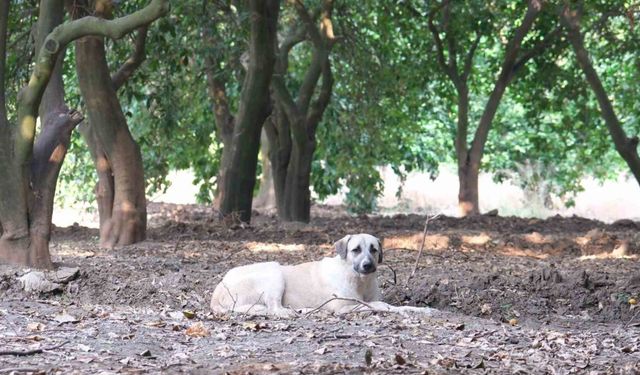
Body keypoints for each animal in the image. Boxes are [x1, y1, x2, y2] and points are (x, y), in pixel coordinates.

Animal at [212, 235, 432, 318]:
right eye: (356, 250)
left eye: (373, 249)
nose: (368, 265)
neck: (360, 281)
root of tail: (217, 292)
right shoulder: (343, 306)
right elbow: (380, 305)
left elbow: (394, 305)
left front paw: (421, 310)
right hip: (274, 272)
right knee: (274, 309)